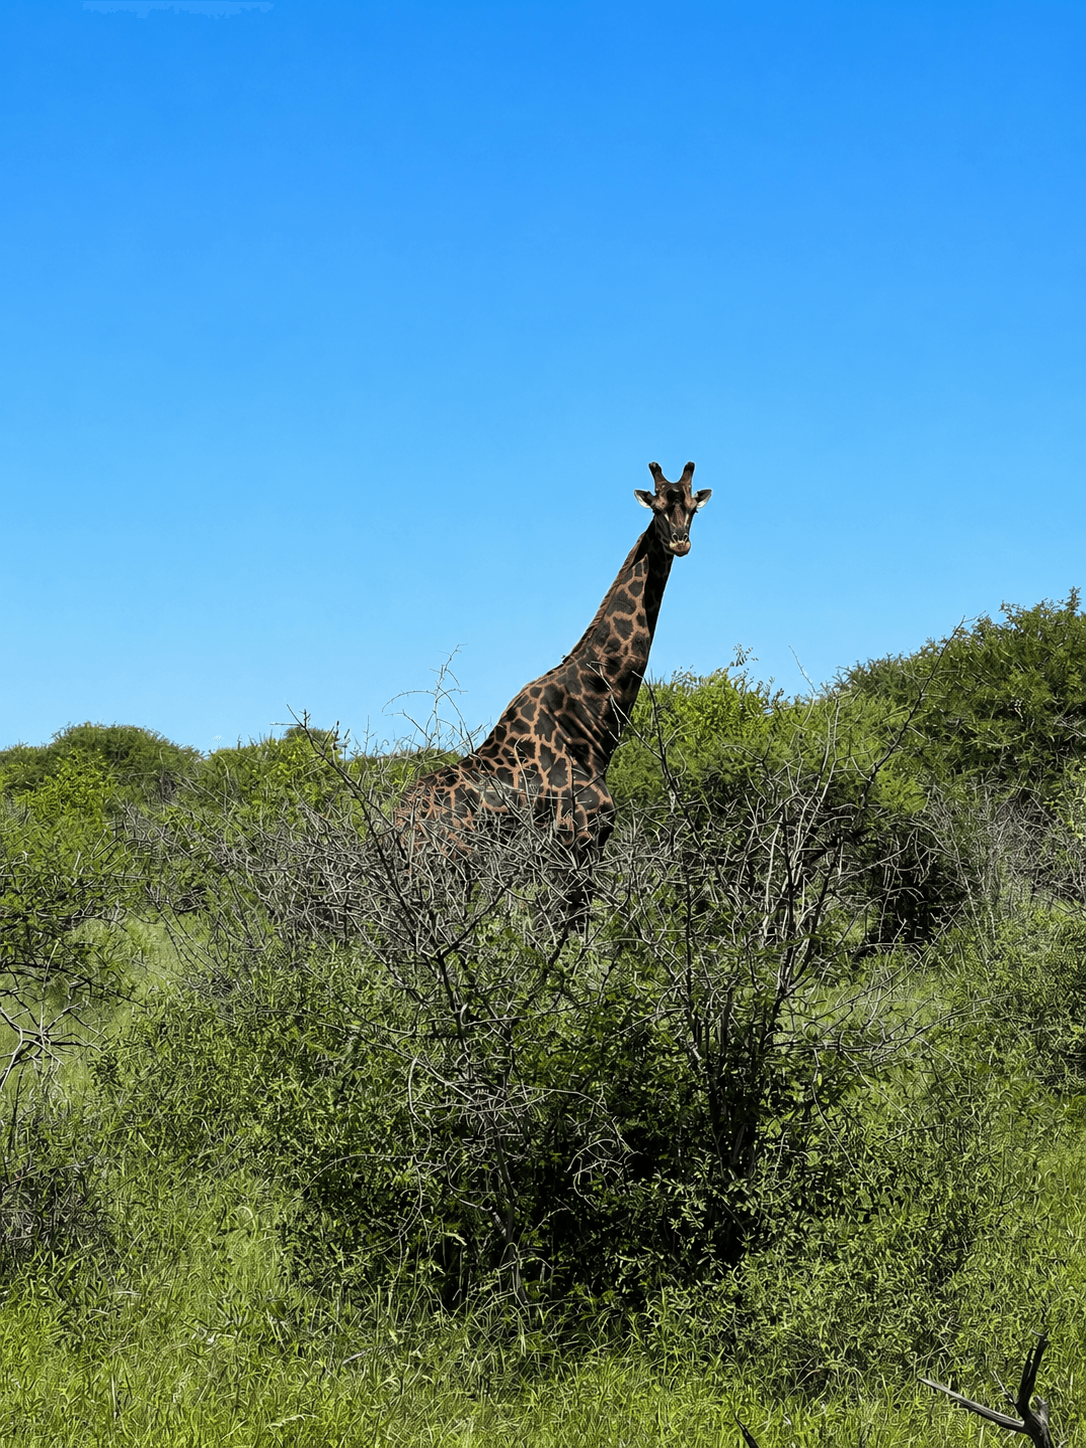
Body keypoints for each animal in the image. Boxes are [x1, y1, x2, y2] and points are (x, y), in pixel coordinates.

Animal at [397, 460, 711, 870]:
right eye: (657, 508)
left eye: (692, 509)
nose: (679, 541)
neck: (591, 726)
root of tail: (397, 823)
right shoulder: (576, 841)